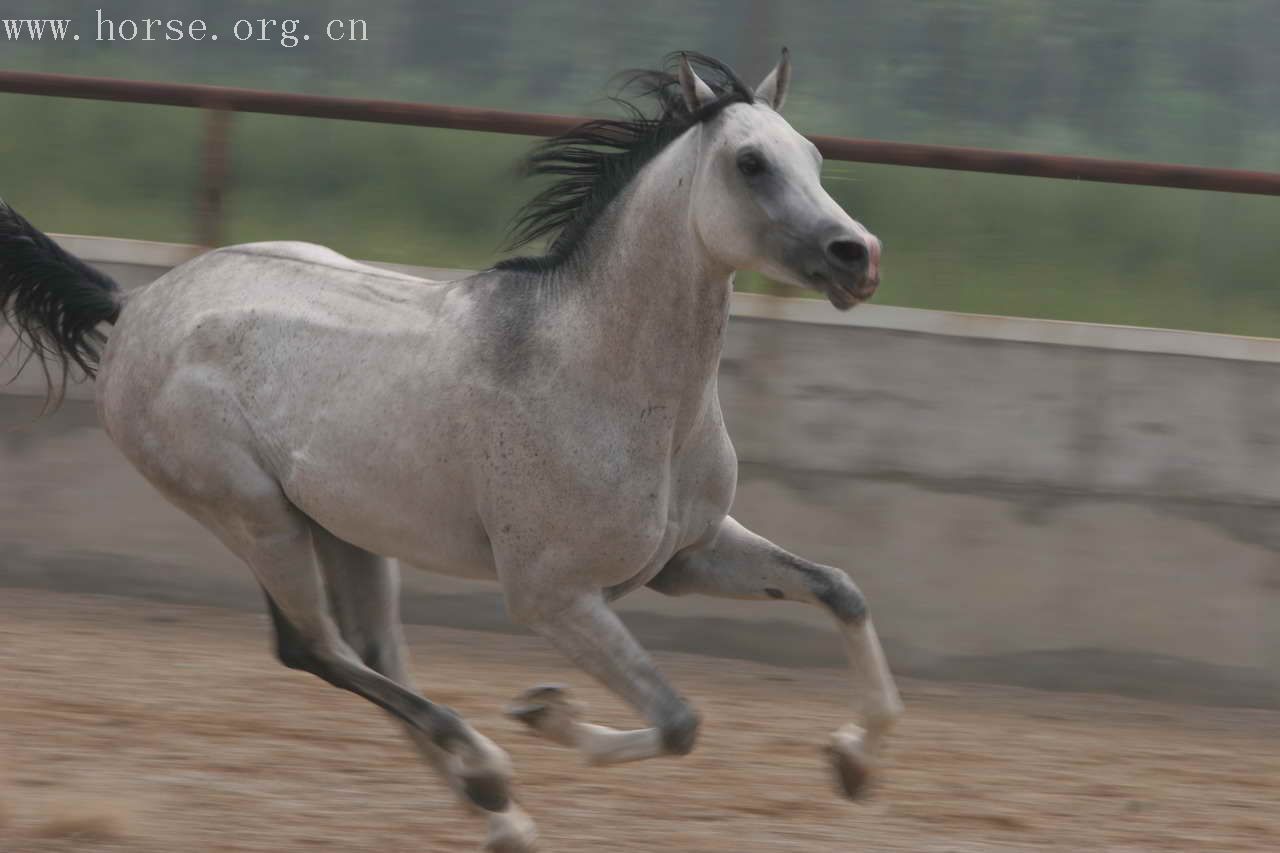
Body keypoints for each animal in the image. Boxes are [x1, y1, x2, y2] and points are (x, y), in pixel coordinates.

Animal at [2, 53, 901, 850]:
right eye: (751, 163)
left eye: (814, 156)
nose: (859, 257)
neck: (599, 373)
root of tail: (134, 301)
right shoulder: (552, 596)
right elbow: (679, 720)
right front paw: (543, 712)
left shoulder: (687, 556)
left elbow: (842, 589)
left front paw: (853, 764)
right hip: (250, 514)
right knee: (314, 649)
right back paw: (487, 771)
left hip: (343, 528)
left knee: (375, 653)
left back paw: (502, 820)